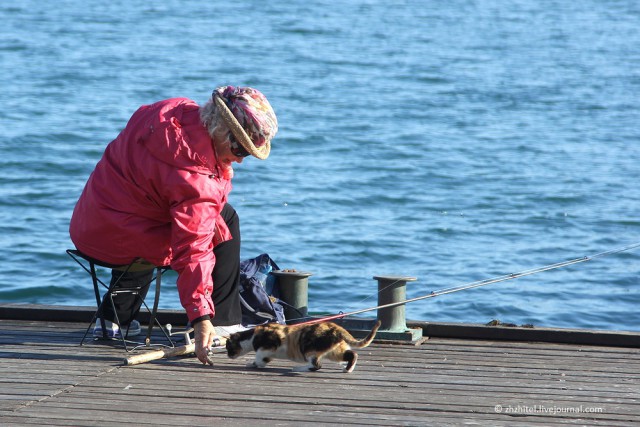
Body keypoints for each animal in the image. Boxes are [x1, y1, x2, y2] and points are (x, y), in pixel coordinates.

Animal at [225, 320, 380, 372]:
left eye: (228, 347)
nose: (228, 355)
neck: (252, 336)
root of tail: (337, 328)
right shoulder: (268, 352)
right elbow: (262, 359)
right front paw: (255, 364)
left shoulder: (269, 345)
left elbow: (258, 356)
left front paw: (255, 364)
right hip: (335, 352)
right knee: (353, 354)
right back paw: (348, 369)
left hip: (310, 350)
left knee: (316, 365)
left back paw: (298, 368)